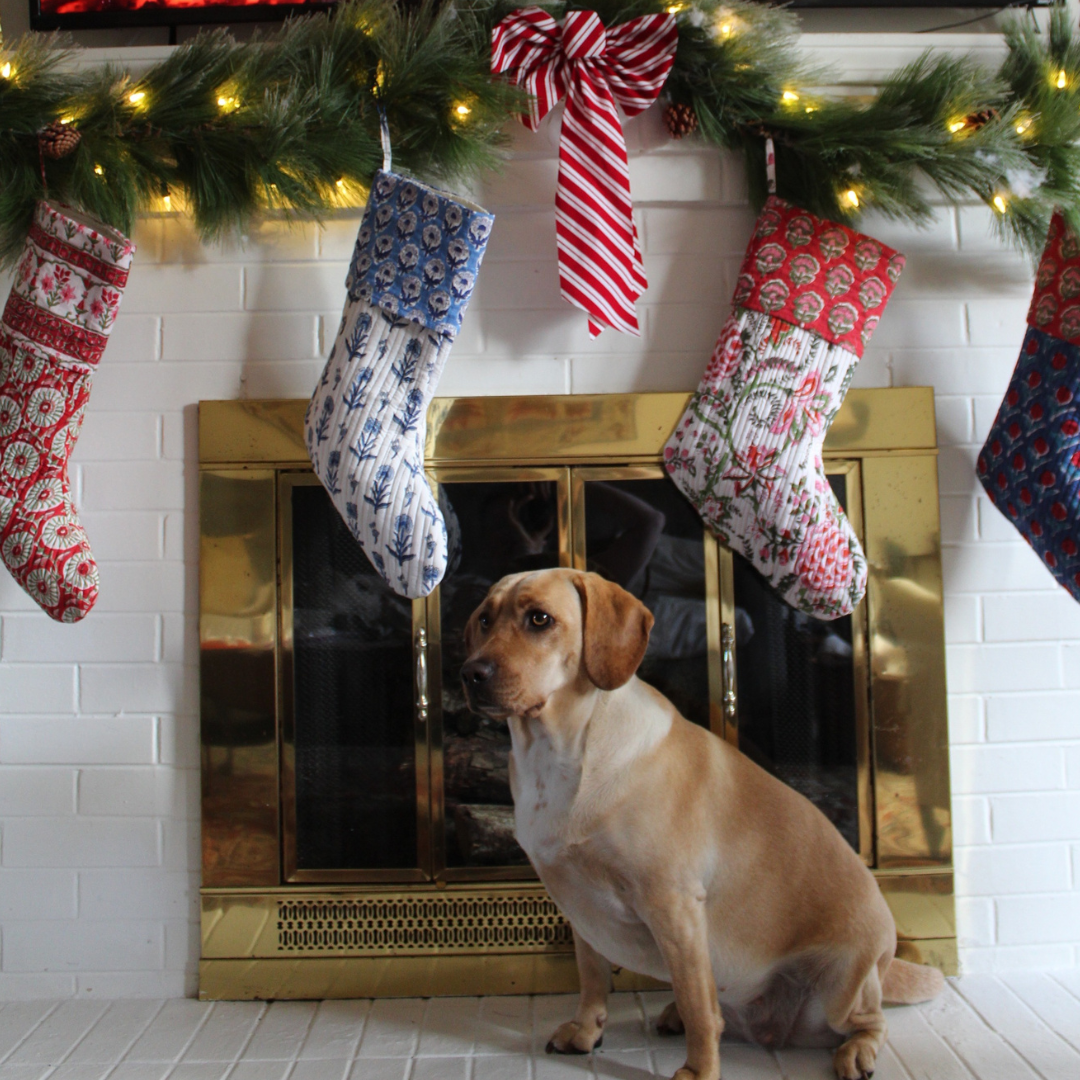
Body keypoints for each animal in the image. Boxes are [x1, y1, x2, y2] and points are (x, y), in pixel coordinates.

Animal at [460, 570, 941, 1075]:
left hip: (840, 986)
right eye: (485, 619)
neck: (557, 755)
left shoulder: (673, 904)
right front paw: (586, 1031)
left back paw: (855, 1052)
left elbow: (698, 1005)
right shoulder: (579, 907)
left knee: (871, 1021)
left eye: (540, 619)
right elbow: (592, 979)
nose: (470, 674)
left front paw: (700, 1070)